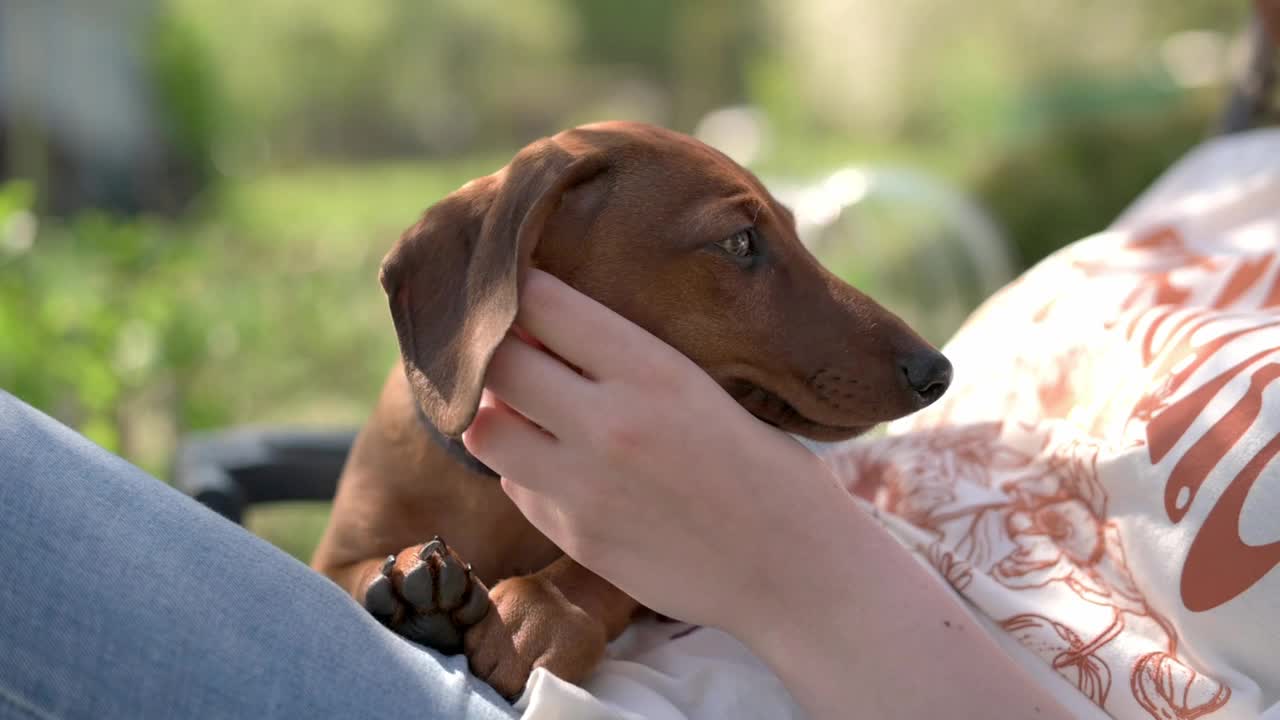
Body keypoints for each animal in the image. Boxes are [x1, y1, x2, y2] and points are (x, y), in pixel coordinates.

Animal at [309, 120, 952, 696]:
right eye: (740, 240)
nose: (937, 372)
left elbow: (606, 569)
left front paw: (542, 611)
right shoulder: (332, 556)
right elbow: (351, 574)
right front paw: (408, 582)